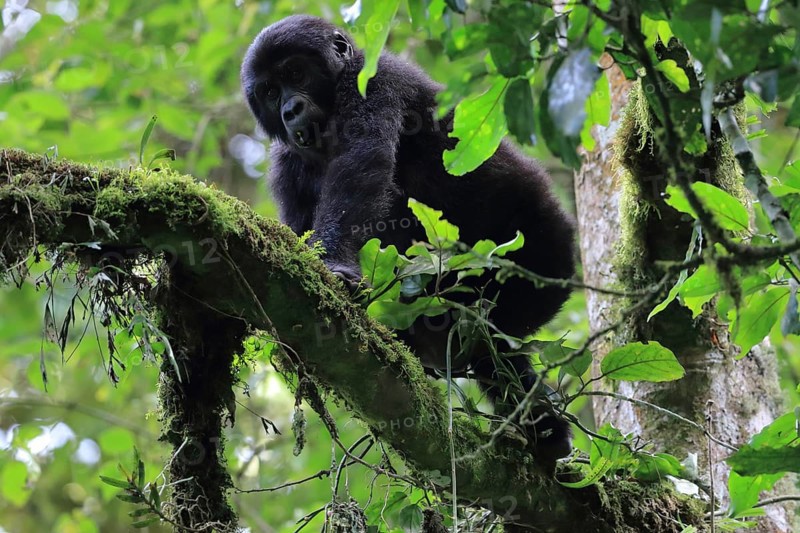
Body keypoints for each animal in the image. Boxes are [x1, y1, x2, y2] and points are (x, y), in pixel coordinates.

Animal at [241, 15, 576, 465]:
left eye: (295, 73)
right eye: (269, 92)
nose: (289, 108)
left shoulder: (373, 80)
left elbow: (361, 164)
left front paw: (335, 269)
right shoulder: (286, 166)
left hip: (543, 255)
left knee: (492, 333)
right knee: (489, 354)